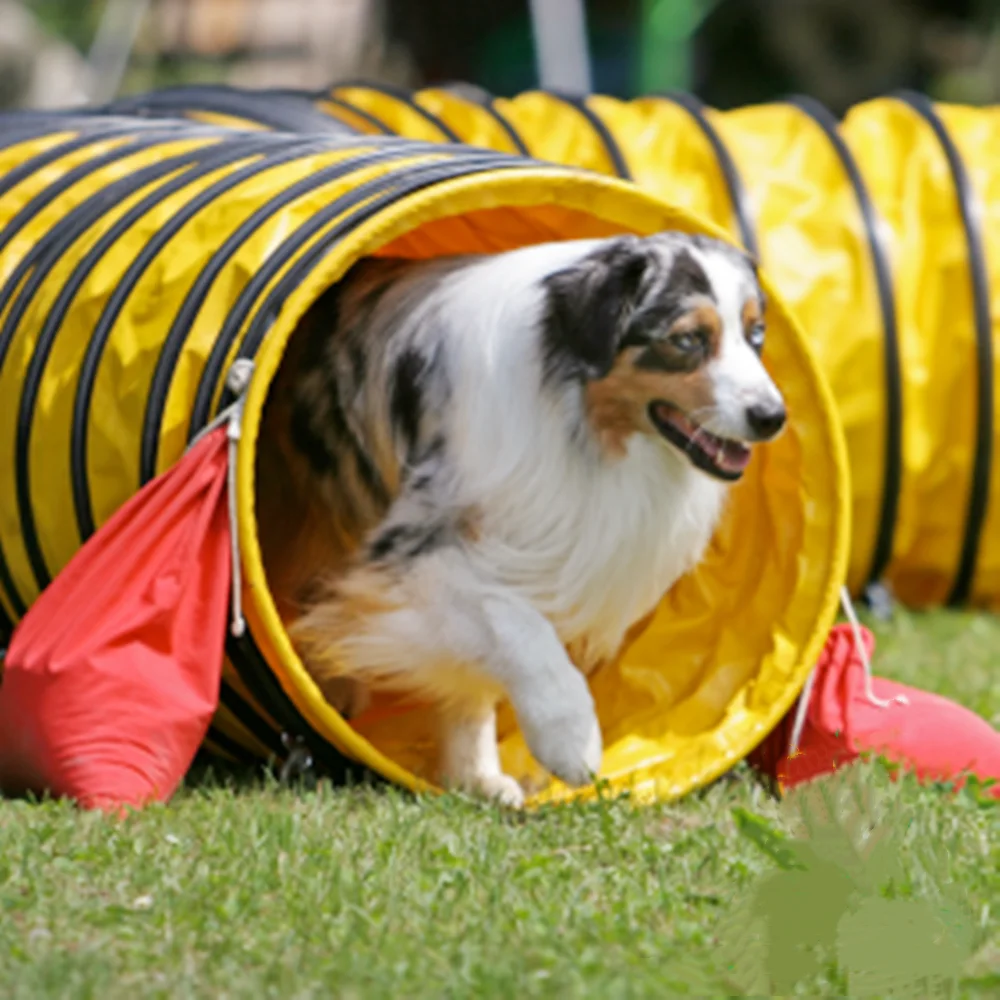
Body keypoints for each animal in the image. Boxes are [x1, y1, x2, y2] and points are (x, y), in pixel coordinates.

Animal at [254, 232, 784, 804]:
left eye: (756, 333)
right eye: (687, 339)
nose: (773, 417)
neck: (580, 423)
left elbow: (469, 681)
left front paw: (475, 778)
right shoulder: (409, 553)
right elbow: (515, 620)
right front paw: (570, 736)